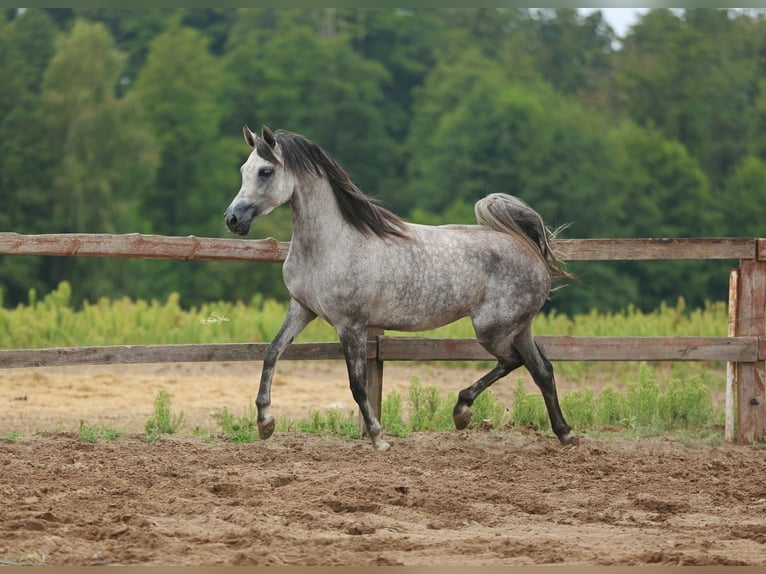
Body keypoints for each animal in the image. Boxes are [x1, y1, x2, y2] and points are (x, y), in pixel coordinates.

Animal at [225, 125, 580, 450]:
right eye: (243, 170)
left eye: (266, 171)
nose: (232, 219)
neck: (331, 244)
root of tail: (528, 248)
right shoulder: (302, 309)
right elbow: (272, 352)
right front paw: (265, 423)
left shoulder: (351, 325)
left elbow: (358, 385)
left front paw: (378, 438)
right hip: (518, 328)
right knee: (541, 369)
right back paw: (565, 434)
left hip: (492, 329)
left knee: (514, 362)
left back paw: (462, 412)